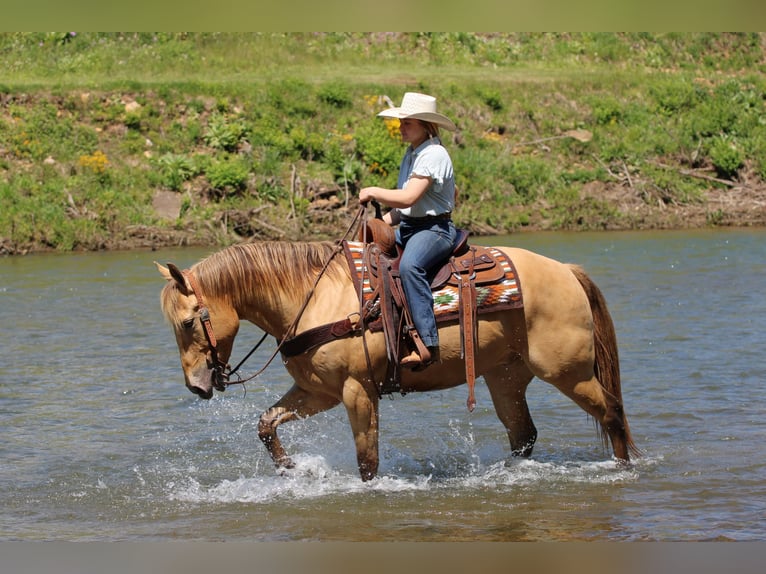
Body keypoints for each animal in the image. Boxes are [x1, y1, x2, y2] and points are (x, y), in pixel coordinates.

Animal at [156, 239, 639, 481]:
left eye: (187, 322)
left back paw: (621, 470)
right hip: (506, 376)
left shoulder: (357, 391)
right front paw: (291, 468)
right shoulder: (317, 391)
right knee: (524, 434)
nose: (196, 386)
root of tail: (567, 271)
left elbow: (367, 461)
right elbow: (266, 423)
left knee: (612, 412)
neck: (313, 297)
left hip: (567, 372)